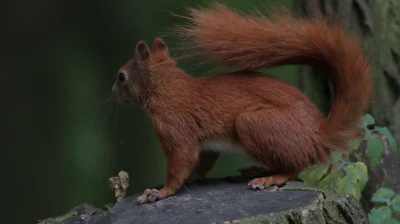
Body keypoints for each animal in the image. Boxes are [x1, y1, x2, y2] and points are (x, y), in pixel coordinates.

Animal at [111, 2, 372, 205]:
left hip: (254, 123)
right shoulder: (205, 146)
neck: (165, 86)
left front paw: (160, 192)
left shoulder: (174, 126)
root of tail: (320, 133)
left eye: (121, 76)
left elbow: (181, 161)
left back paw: (270, 178)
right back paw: (260, 170)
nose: (112, 91)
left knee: (296, 167)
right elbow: (198, 165)